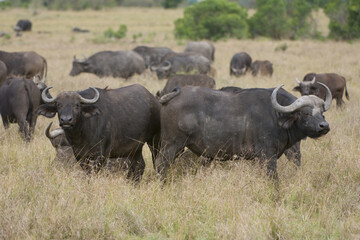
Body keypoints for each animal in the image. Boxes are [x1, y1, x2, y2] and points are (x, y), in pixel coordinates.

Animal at [155, 83, 332, 179]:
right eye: (306, 113)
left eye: (322, 113)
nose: (324, 126)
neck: (276, 115)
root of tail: (172, 96)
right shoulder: (268, 156)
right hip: (171, 145)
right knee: (161, 165)